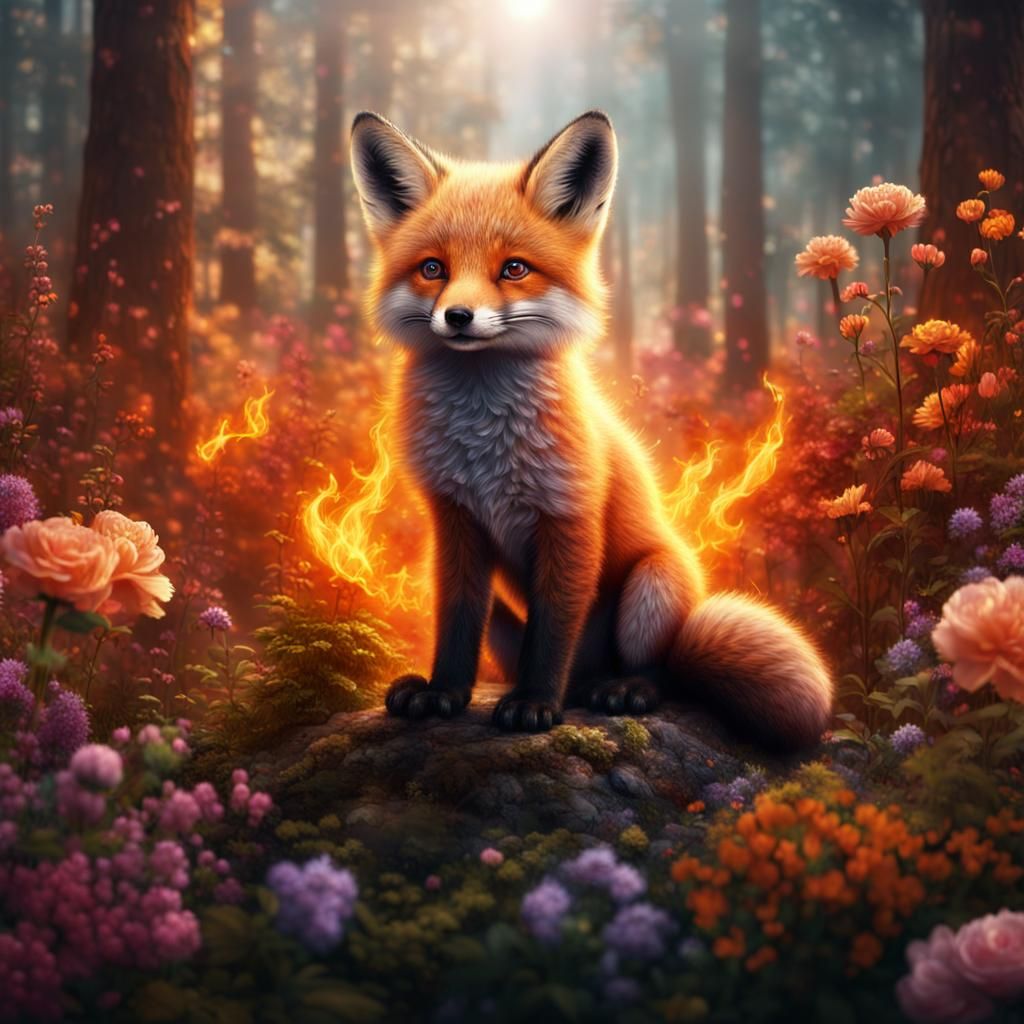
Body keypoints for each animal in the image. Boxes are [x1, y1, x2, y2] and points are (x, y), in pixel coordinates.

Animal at [348, 109, 833, 752]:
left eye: (514, 269)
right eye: (434, 269)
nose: (458, 317)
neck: (484, 445)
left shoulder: (570, 517)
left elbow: (554, 629)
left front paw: (534, 704)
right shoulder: (455, 522)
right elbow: (455, 624)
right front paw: (442, 692)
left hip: (652, 587)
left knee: (659, 672)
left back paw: (623, 690)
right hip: (507, 616)